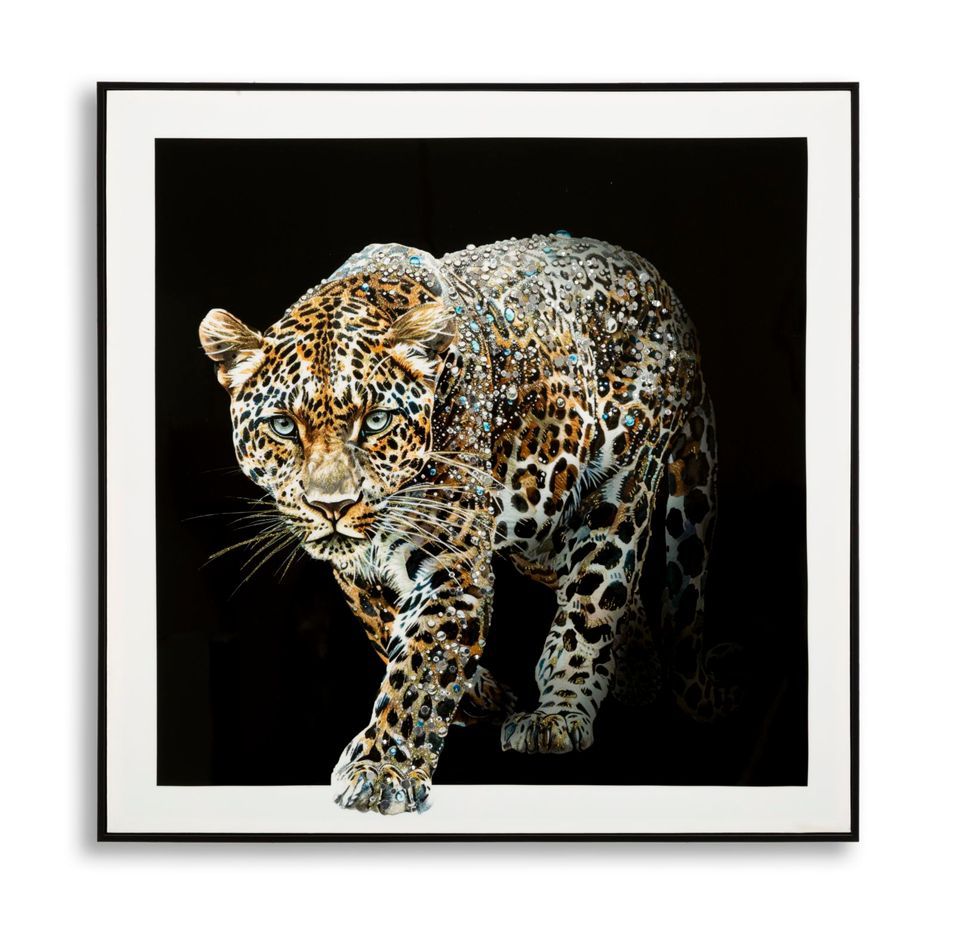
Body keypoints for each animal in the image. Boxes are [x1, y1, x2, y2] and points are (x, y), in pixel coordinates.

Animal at [199, 233, 733, 815]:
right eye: (282, 427)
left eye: (376, 421)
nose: (332, 506)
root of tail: (663, 288)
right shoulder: (359, 572)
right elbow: (388, 627)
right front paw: (478, 696)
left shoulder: (453, 563)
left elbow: (420, 668)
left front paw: (381, 769)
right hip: (539, 521)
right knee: (615, 590)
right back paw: (637, 678)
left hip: (621, 486)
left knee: (595, 596)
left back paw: (559, 713)